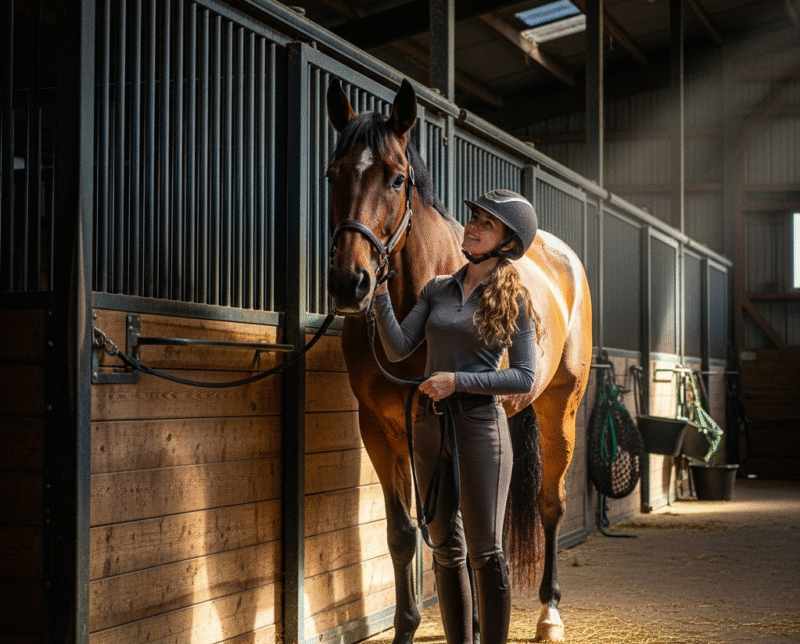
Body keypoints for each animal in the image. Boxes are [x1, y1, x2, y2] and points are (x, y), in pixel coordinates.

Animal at [325, 78, 592, 643]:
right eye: (333, 174)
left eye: (397, 178)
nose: (350, 284)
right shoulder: (380, 428)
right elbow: (403, 533)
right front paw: (410, 627)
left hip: (561, 408)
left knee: (551, 504)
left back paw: (549, 613)